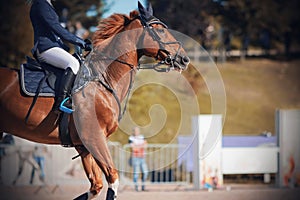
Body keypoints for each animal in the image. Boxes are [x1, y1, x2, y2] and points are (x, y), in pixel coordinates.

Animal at [0, 3, 190, 200]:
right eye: (160, 30)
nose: (184, 59)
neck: (103, 79)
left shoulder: (83, 146)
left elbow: (96, 186)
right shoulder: (94, 138)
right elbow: (113, 179)